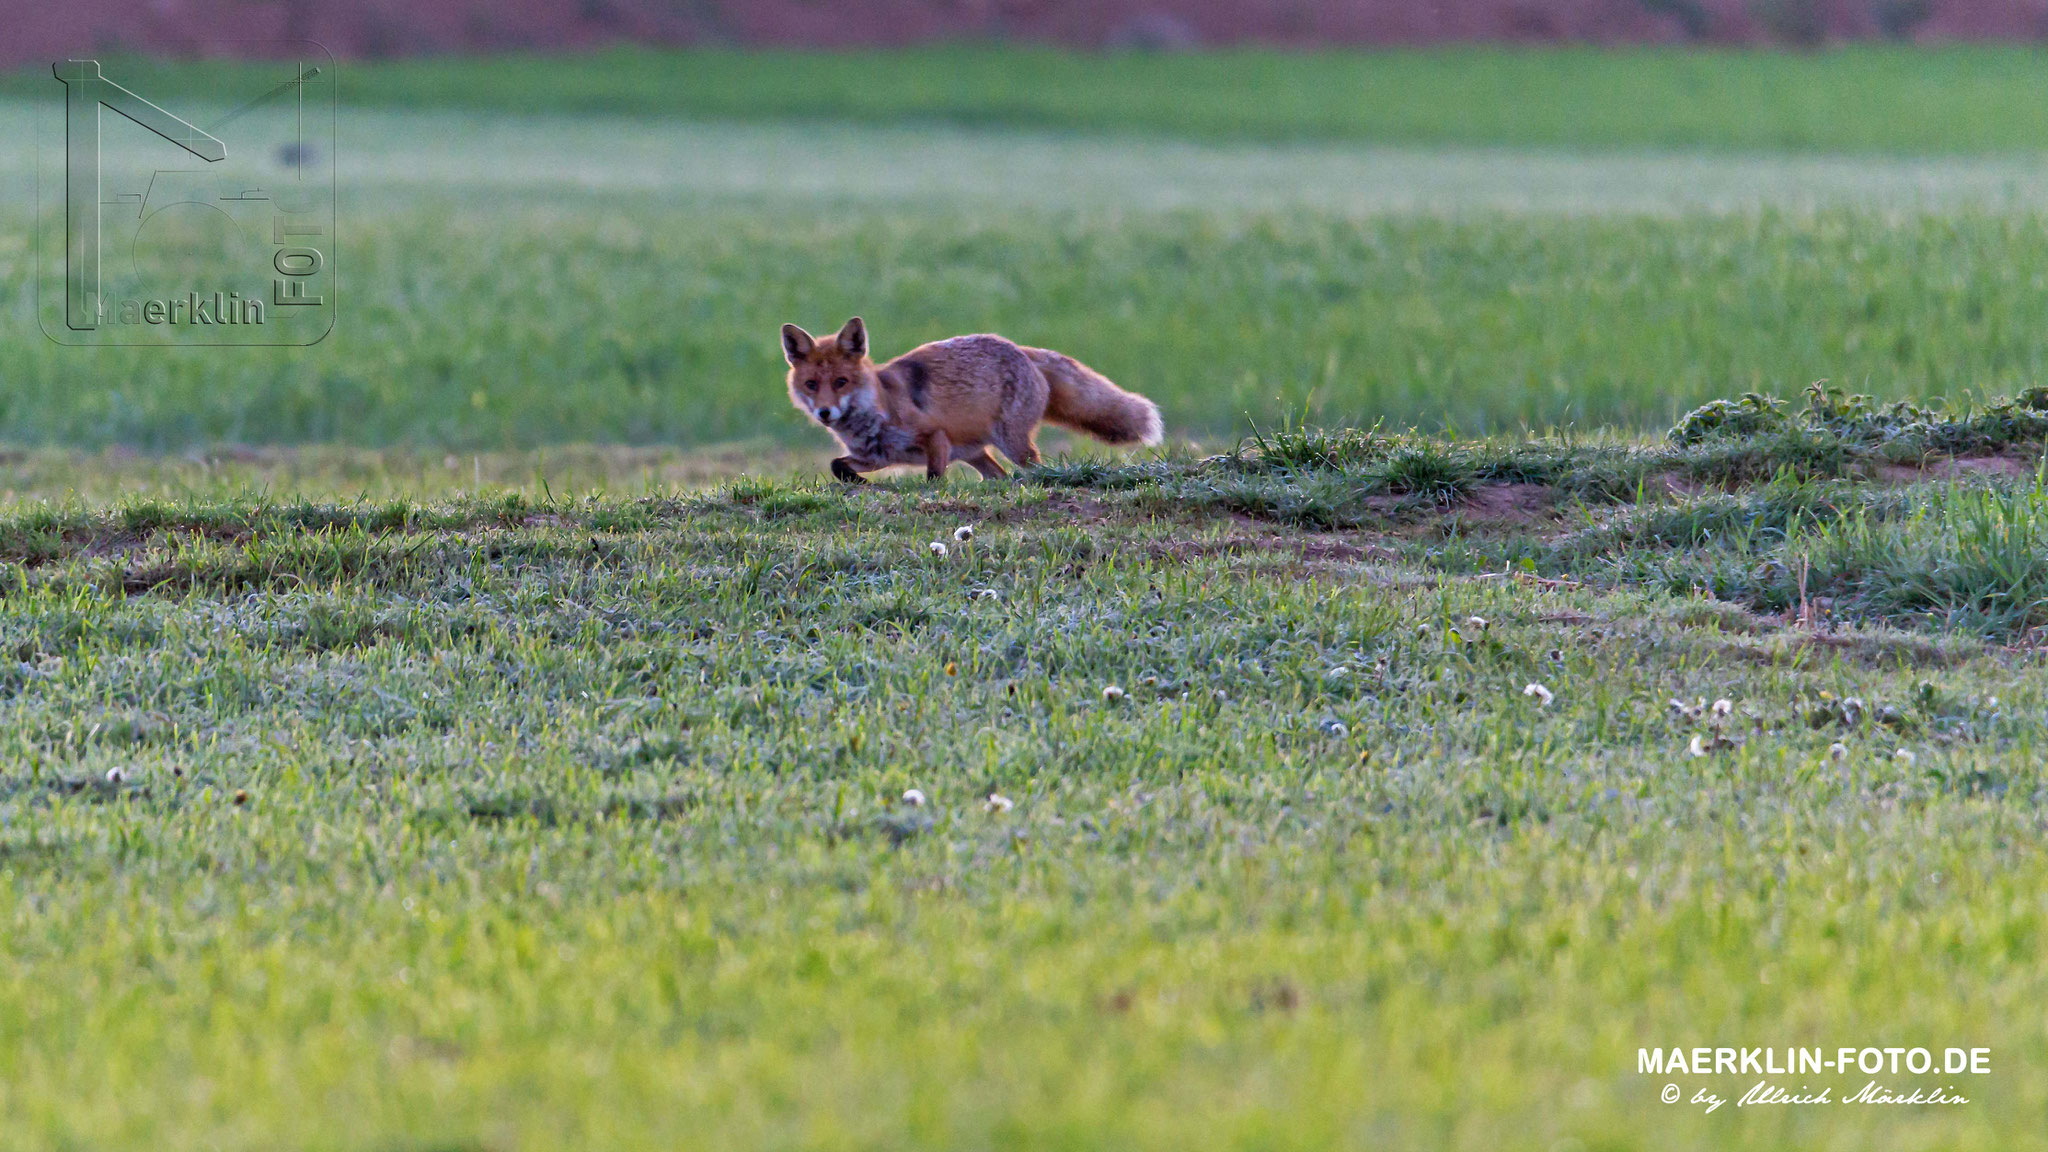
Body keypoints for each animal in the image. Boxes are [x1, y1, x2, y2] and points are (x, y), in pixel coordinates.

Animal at [778, 313, 1163, 479]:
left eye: (841, 381)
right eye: (811, 384)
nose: (825, 413)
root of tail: (1020, 349)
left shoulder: (936, 438)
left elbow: (934, 480)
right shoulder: (877, 456)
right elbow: (837, 464)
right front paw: (854, 481)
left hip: (1012, 444)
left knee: (1033, 467)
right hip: (975, 453)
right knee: (999, 476)